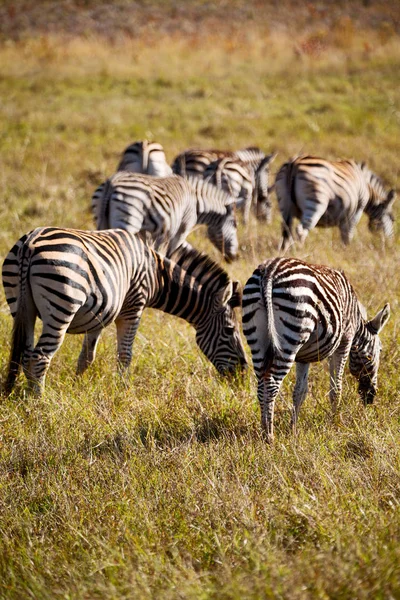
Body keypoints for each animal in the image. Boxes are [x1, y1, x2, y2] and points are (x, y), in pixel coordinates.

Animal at [2, 227, 247, 396]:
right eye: (229, 330)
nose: (242, 374)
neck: (156, 274)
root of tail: (30, 243)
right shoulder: (133, 308)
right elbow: (125, 356)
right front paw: (123, 390)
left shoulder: (99, 315)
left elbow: (87, 357)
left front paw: (77, 386)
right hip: (61, 308)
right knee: (39, 357)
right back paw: (39, 401)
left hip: (22, 309)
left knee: (25, 354)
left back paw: (26, 395)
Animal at [92, 171, 239, 260]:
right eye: (235, 224)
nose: (234, 257)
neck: (196, 201)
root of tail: (112, 183)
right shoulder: (182, 229)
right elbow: (170, 252)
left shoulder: (150, 232)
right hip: (129, 218)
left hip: (102, 220)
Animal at [242, 255, 390, 442]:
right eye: (380, 351)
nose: (370, 398)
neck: (356, 323)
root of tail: (270, 271)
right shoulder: (344, 342)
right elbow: (336, 388)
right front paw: (335, 423)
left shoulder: (303, 357)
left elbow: (300, 392)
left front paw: (293, 430)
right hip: (289, 335)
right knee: (271, 384)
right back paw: (269, 436)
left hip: (258, 341)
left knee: (261, 386)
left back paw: (263, 431)